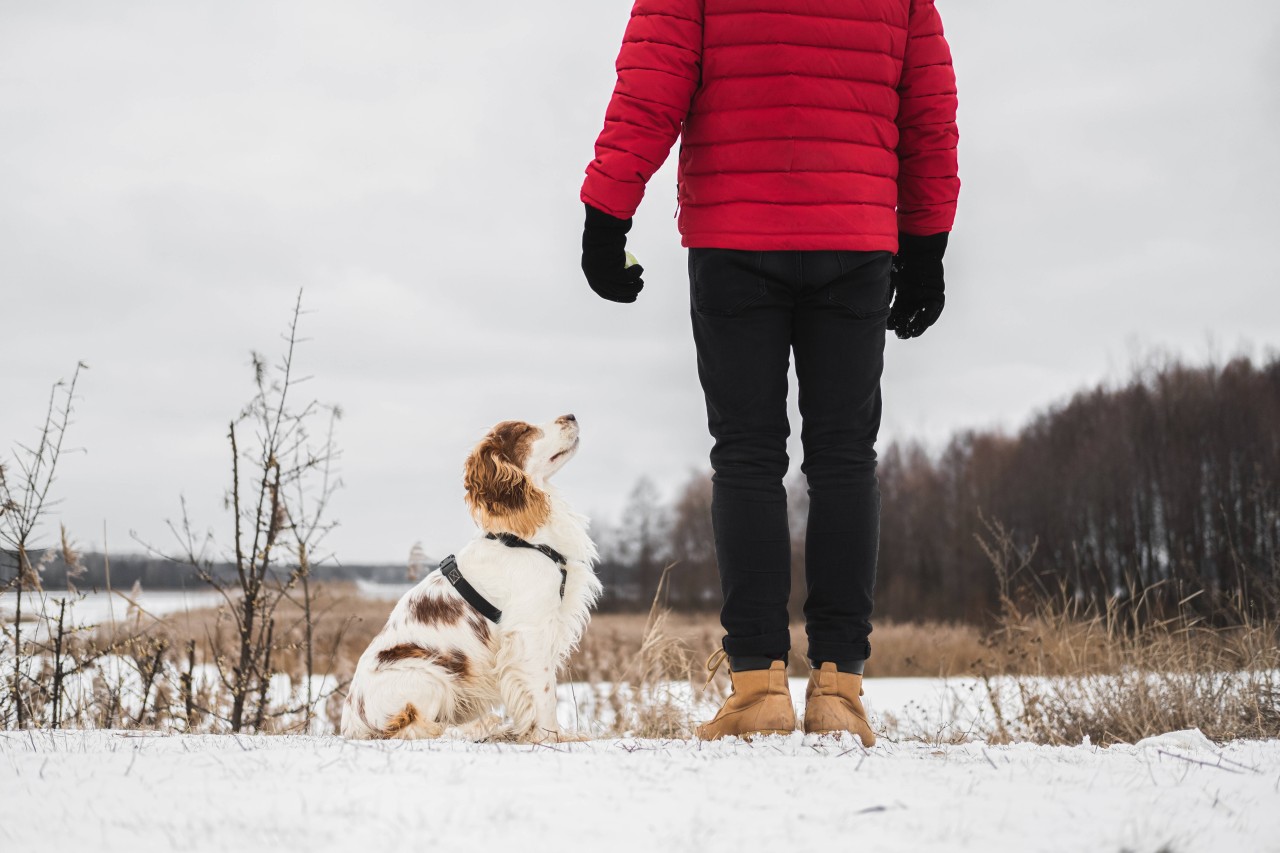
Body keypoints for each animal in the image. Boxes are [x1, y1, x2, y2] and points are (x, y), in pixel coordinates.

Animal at [340, 412, 599, 737]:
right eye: (525, 430)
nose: (571, 415)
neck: (520, 538)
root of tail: (351, 722)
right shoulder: (530, 632)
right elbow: (545, 694)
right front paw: (551, 737)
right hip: (430, 674)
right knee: (423, 729)